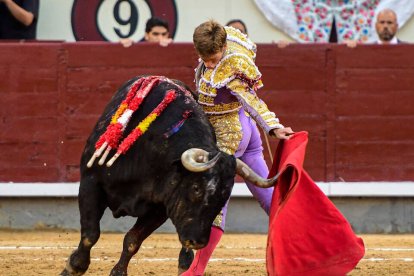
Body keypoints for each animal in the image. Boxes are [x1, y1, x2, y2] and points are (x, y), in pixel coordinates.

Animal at [59, 75, 278, 276]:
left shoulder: (160, 207)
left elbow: (132, 240)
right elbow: (90, 234)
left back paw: (186, 264)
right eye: (196, 188)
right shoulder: (90, 182)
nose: (198, 242)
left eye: (225, 196)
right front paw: (73, 267)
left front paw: (118, 272)